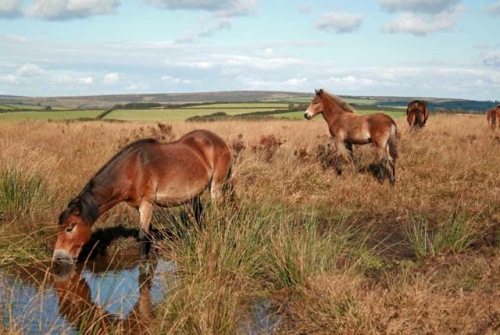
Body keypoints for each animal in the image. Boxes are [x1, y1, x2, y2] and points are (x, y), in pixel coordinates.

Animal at [53, 130, 233, 264]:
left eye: (70, 228)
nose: (58, 257)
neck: (132, 169)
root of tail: (217, 139)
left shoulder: (146, 204)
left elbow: (142, 235)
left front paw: (142, 261)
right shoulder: (140, 207)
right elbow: (148, 233)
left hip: (216, 186)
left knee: (218, 211)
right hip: (195, 194)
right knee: (198, 214)